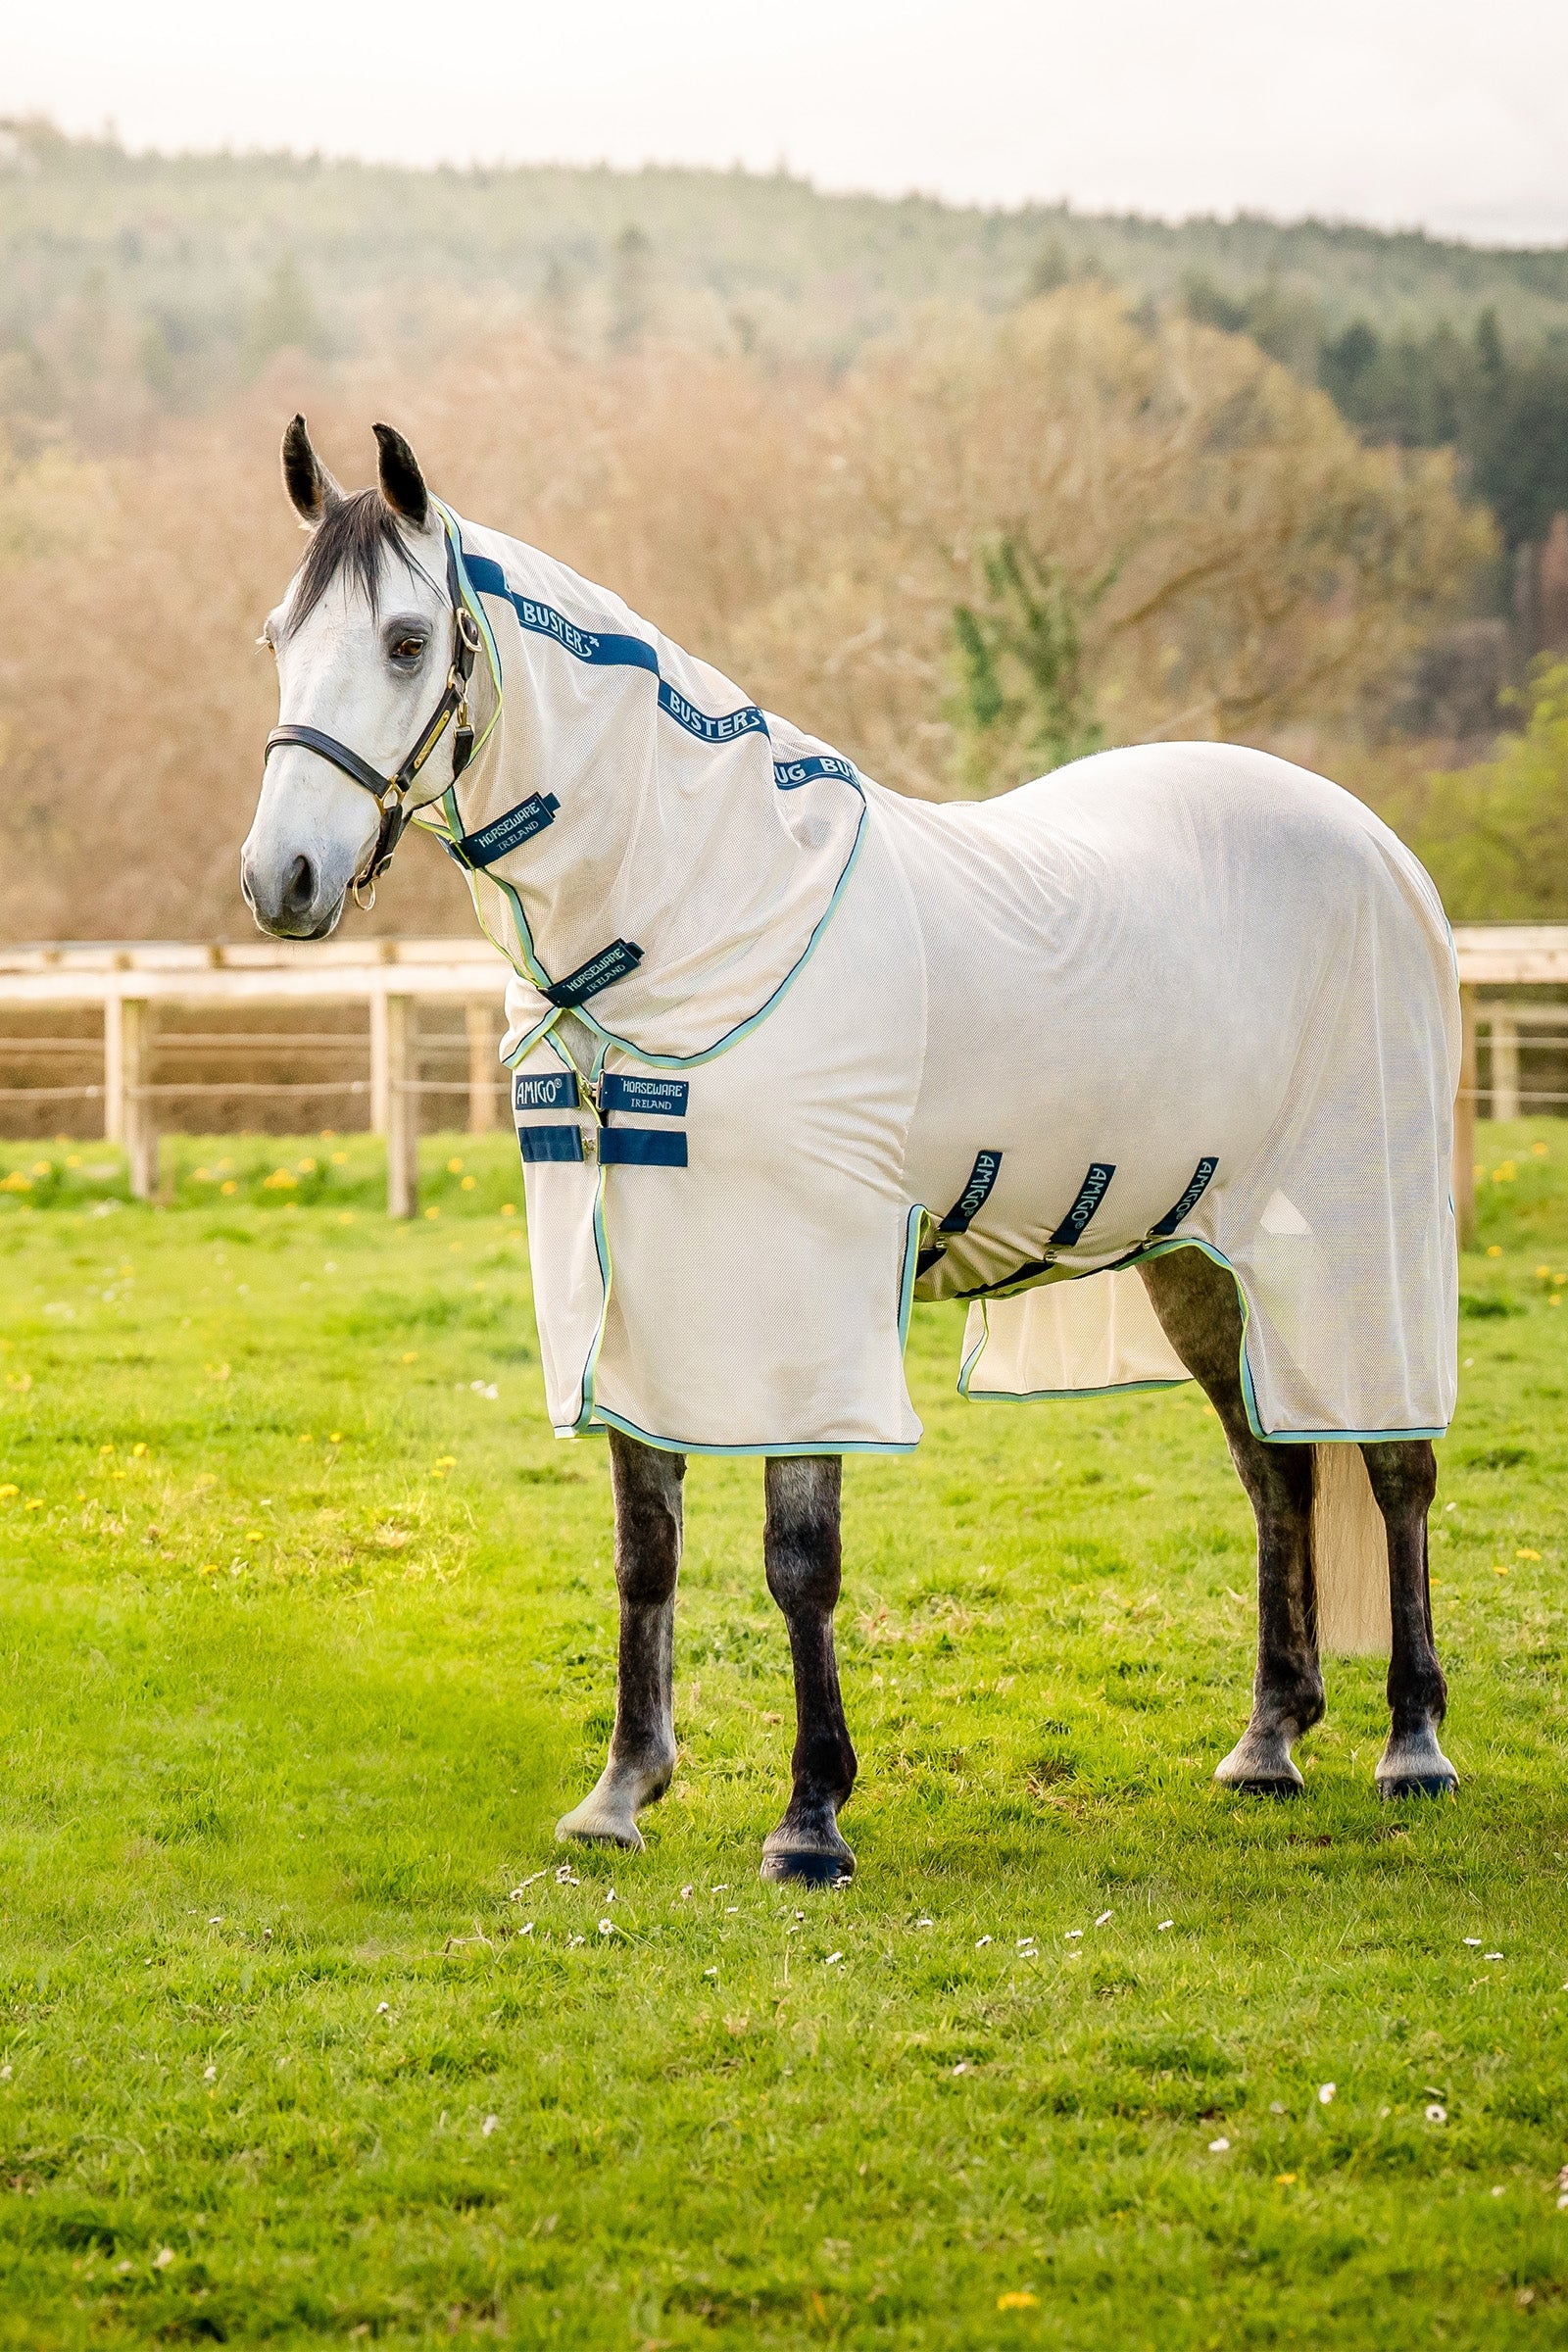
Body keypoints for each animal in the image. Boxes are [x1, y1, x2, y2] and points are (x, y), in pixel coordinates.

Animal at [242, 417, 1460, 1887]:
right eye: (278, 637)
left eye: (410, 639)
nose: (281, 880)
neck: (702, 907)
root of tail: (1374, 844)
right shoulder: (632, 1284)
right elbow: (646, 1547)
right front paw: (620, 1793)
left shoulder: (805, 1289)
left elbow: (796, 1557)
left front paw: (811, 1819)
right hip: (1201, 1256)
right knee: (1276, 1470)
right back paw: (1269, 1742)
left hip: (1362, 1241)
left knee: (1395, 1465)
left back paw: (1413, 1745)